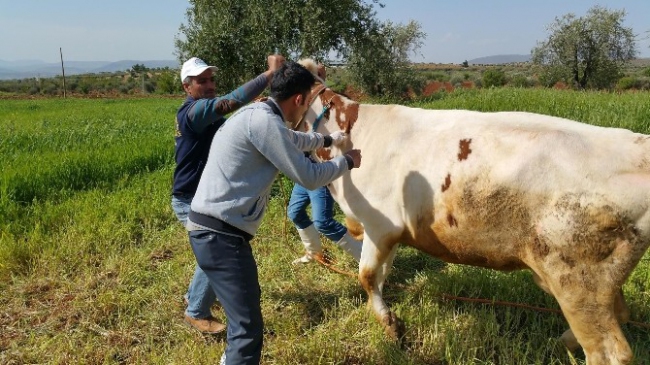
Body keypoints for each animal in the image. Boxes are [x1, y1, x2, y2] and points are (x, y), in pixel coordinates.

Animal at [294, 55, 648, 364]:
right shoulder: (386, 231)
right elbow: (380, 274)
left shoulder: (380, 225)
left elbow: (366, 276)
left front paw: (390, 325)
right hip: (601, 278)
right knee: (621, 312)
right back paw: (561, 340)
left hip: (577, 281)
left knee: (610, 351)